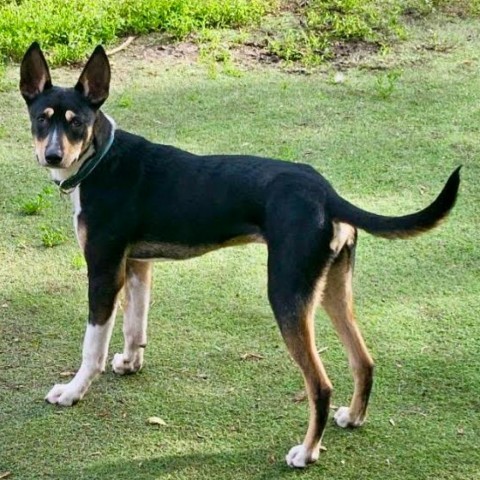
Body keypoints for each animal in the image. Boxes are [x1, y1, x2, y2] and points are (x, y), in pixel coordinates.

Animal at [19, 42, 462, 468]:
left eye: (76, 121)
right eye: (42, 118)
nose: (53, 156)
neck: (101, 159)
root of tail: (326, 194)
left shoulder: (103, 271)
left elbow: (92, 346)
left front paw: (73, 391)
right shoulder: (137, 266)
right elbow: (134, 325)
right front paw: (130, 363)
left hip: (286, 295)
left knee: (320, 385)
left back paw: (307, 453)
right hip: (332, 290)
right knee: (364, 361)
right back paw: (352, 417)